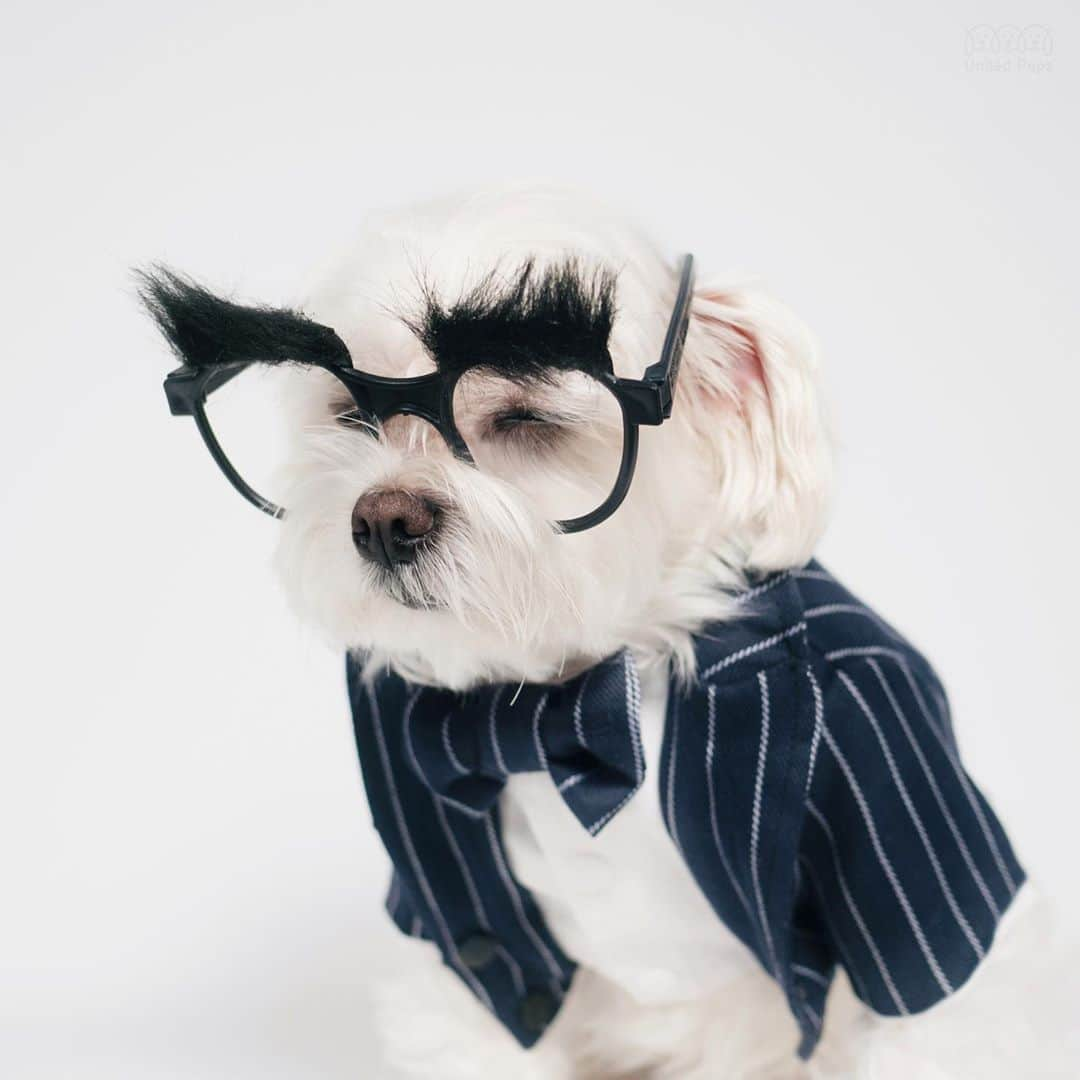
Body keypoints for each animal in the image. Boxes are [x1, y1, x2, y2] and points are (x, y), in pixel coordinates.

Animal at [141, 190, 1071, 1075]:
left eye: (525, 417)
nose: (382, 519)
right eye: (345, 411)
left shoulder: (887, 776)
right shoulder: (453, 910)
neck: (560, 704)